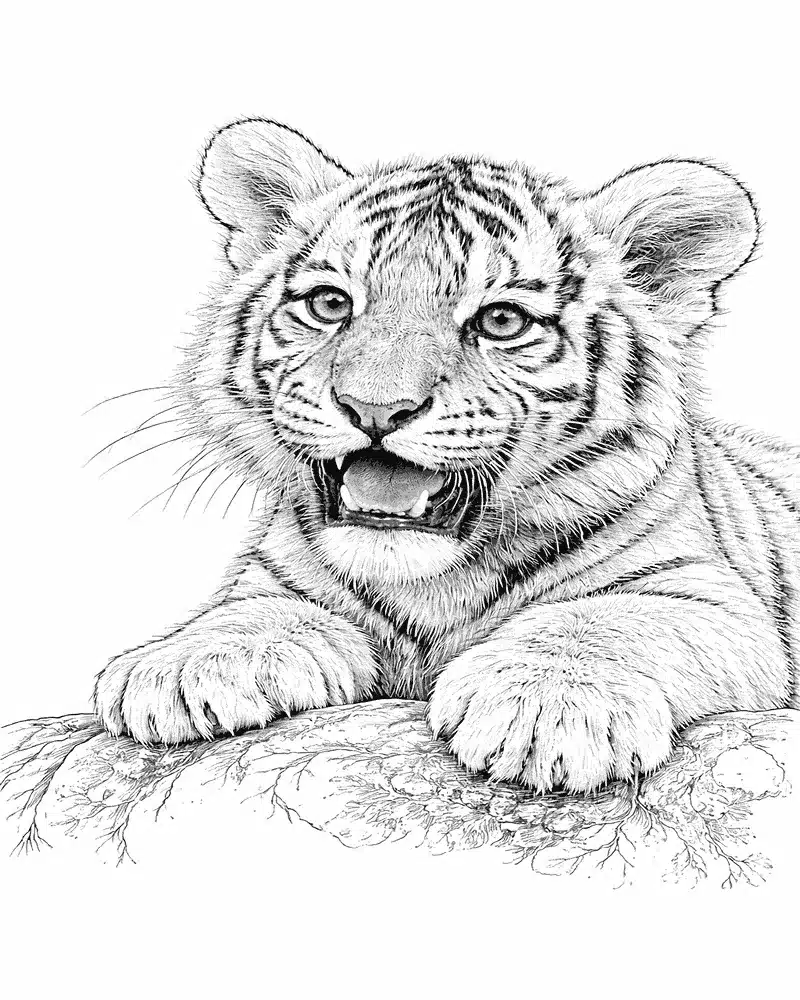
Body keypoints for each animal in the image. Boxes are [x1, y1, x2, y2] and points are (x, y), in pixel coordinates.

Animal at [93, 118, 800, 794]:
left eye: (502, 321)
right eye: (330, 303)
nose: (375, 409)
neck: (432, 586)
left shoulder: (713, 599)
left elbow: (610, 619)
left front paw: (544, 706)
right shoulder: (276, 577)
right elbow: (256, 611)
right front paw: (185, 667)